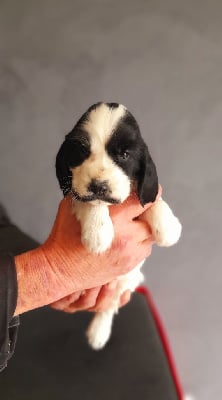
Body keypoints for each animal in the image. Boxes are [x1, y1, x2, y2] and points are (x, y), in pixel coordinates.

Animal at [56, 103, 182, 350]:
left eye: (124, 155)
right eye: (82, 151)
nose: (98, 186)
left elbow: (153, 201)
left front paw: (169, 228)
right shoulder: (76, 195)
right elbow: (90, 203)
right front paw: (98, 233)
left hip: (125, 282)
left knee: (109, 307)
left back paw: (98, 333)